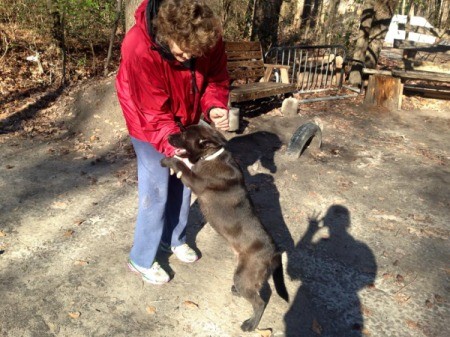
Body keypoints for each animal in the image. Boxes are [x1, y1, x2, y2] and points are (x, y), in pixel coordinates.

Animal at [160, 124, 290, 330]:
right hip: (248, 275)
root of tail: (275, 253)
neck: (211, 156)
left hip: (244, 275)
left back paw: (251, 324)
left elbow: (182, 166)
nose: (168, 136)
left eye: (184, 135)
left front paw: (168, 160)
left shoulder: (195, 181)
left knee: (260, 302)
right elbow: (185, 163)